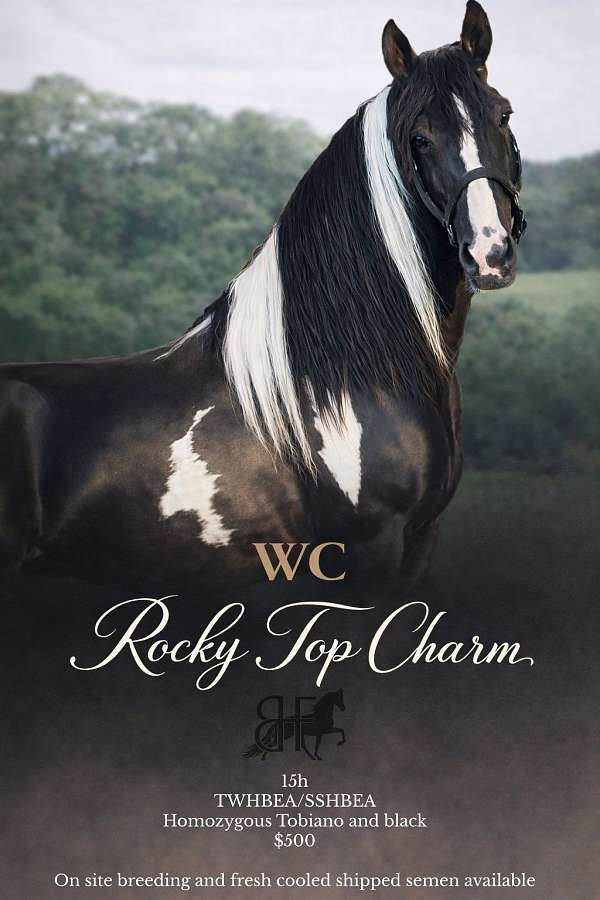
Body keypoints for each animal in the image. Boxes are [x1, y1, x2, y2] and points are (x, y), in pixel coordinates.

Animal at [0, 1, 526, 594]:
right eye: (420, 139)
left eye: (503, 116)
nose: (489, 253)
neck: (354, 373)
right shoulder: (371, 548)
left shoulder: (419, 543)